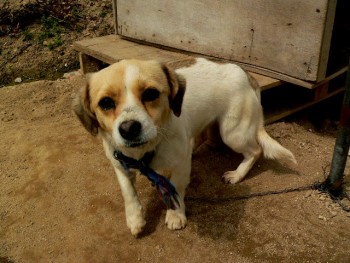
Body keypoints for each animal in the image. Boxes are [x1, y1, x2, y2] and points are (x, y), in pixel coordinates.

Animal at [72, 58, 296, 237]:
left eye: (151, 94)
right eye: (106, 103)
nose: (129, 128)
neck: (145, 151)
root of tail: (245, 73)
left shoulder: (180, 165)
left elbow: (177, 189)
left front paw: (175, 215)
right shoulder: (120, 164)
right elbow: (128, 192)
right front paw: (135, 218)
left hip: (233, 133)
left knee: (255, 151)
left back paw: (237, 174)